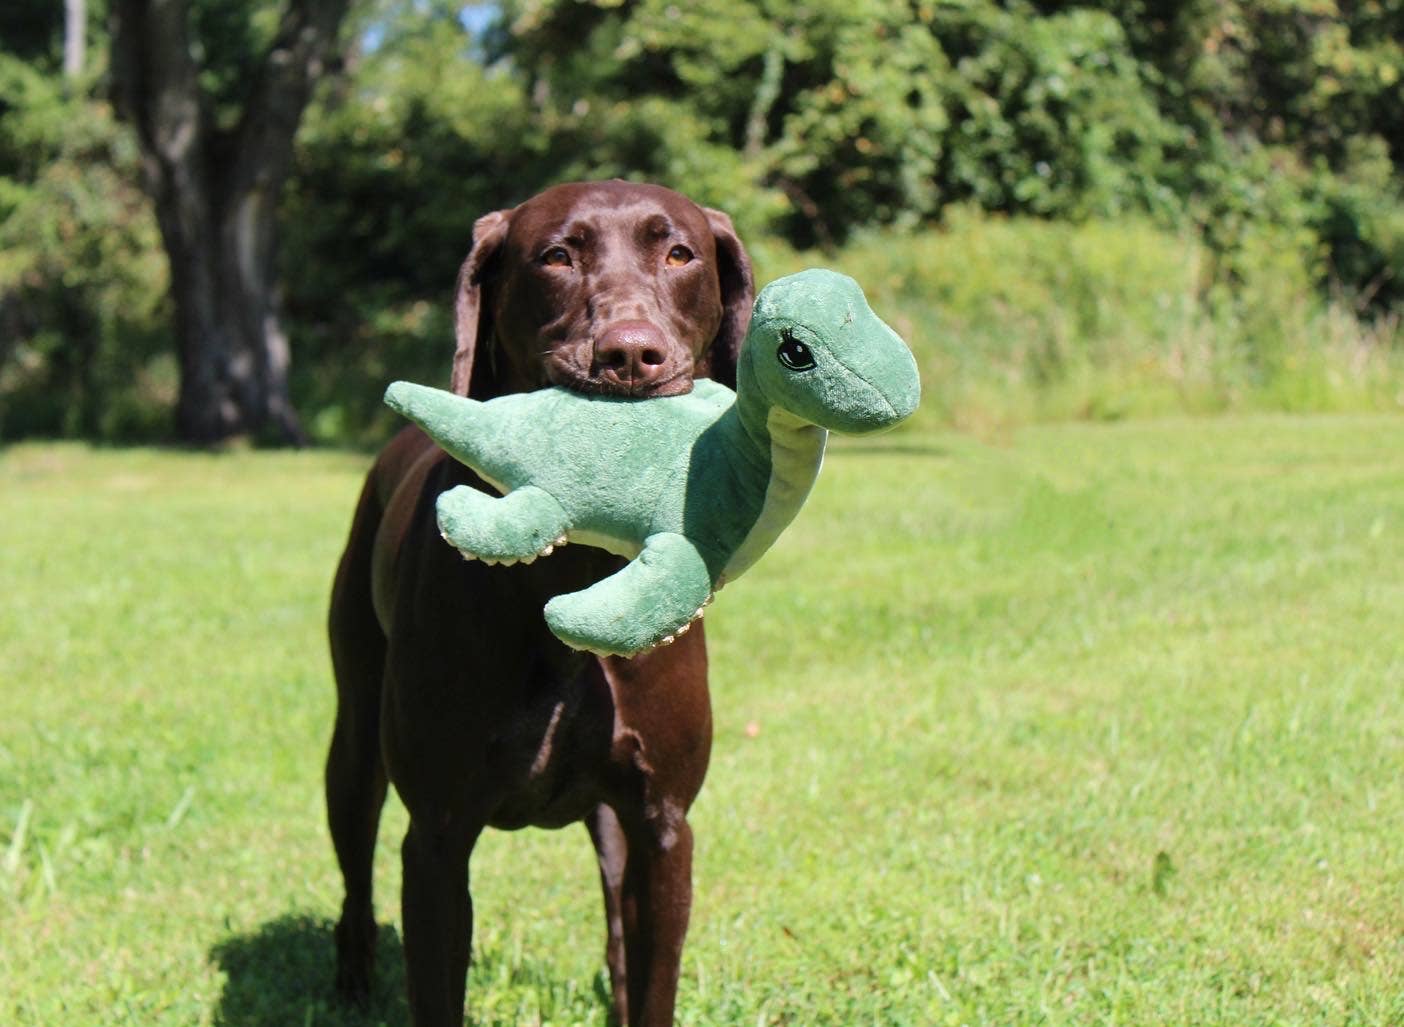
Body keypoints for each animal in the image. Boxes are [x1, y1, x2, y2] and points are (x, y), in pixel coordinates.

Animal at [327, 181, 752, 1022]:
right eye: (557, 255)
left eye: (679, 253)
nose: (630, 352)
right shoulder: (436, 837)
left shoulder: (661, 826)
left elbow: (652, 980)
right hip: (354, 736)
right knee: (354, 863)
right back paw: (353, 975)